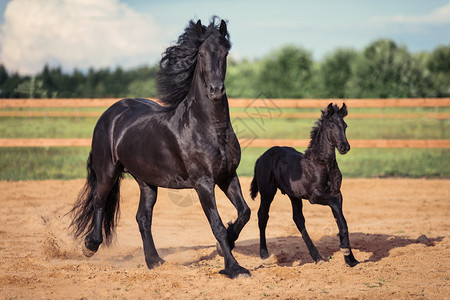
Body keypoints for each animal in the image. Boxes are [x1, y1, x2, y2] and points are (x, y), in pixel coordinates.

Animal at [72, 17, 251, 278]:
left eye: (225, 53)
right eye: (202, 54)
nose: (216, 90)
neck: (209, 128)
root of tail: (111, 113)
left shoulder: (227, 175)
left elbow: (244, 212)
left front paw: (228, 241)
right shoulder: (203, 182)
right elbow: (215, 224)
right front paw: (234, 268)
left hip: (147, 182)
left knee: (142, 218)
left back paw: (154, 261)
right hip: (107, 171)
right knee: (99, 201)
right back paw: (90, 246)